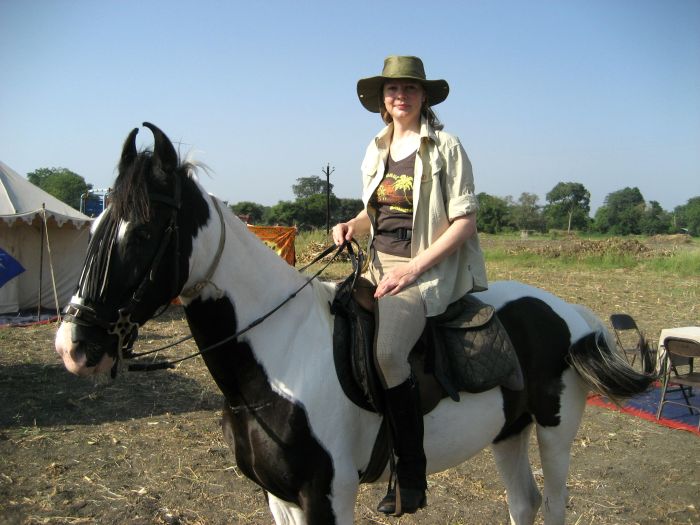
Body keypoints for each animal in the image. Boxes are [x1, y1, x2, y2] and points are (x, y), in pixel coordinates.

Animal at [56, 124, 656, 524]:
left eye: (142, 232)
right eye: (95, 226)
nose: (74, 345)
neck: (281, 355)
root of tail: (572, 313)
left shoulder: (328, 495)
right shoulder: (279, 497)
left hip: (556, 432)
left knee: (551, 504)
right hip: (509, 431)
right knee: (523, 503)